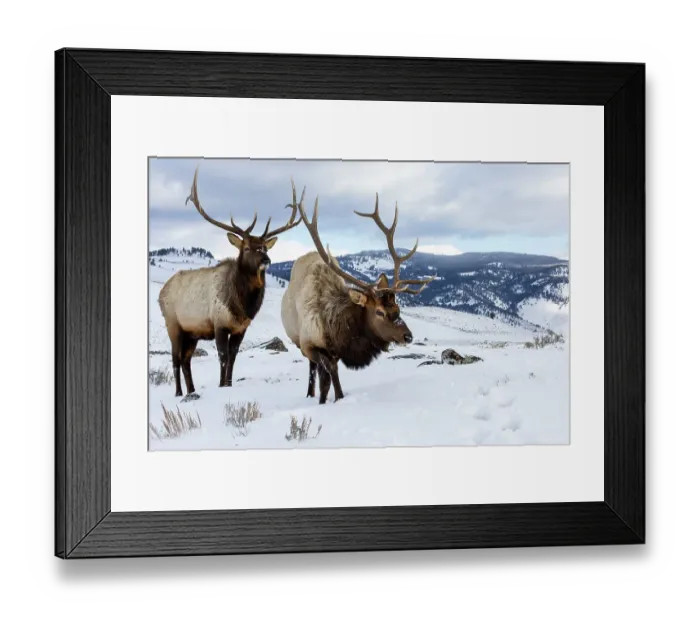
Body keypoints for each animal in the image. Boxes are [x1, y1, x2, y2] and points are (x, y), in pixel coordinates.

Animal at [158, 167, 304, 397]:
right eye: (247, 248)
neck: (242, 306)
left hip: (192, 332)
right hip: (173, 324)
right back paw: (179, 393)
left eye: (265, 247)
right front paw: (221, 385)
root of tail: (160, 293)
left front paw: (228, 383)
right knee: (175, 359)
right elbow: (223, 357)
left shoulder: (240, 328)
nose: (266, 260)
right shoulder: (219, 324)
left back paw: (192, 390)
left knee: (186, 360)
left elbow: (233, 357)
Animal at [281, 193, 436, 404]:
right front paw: (331, 399)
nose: (408, 336)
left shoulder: (336, 351)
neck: (335, 331)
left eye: (397, 308)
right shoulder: (309, 345)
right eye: (379, 312)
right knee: (313, 369)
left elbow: (328, 379)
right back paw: (309, 394)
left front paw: (331, 398)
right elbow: (328, 377)